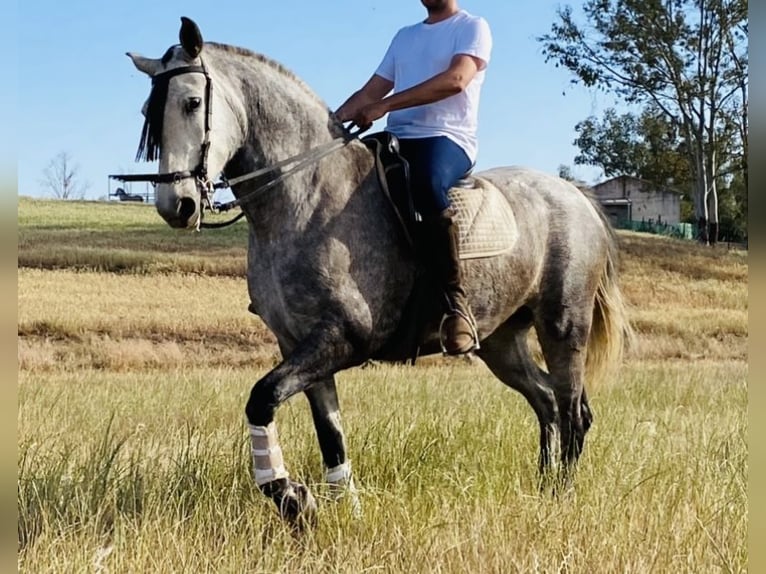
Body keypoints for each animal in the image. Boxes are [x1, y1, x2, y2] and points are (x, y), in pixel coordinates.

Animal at [124, 18, 632, 532]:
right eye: (148, 111)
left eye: (191, 102)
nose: (177, 205)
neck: (307, 197)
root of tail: (573, 193)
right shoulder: (299, 344)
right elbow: (330, 433)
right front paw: (340, 509)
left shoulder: (342, 337)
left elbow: (261, 398)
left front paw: (289, 496)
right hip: (501, 341)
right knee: (546, 401)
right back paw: (542, 491)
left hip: (563, 324)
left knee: (573, 410)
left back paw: (562, 499)